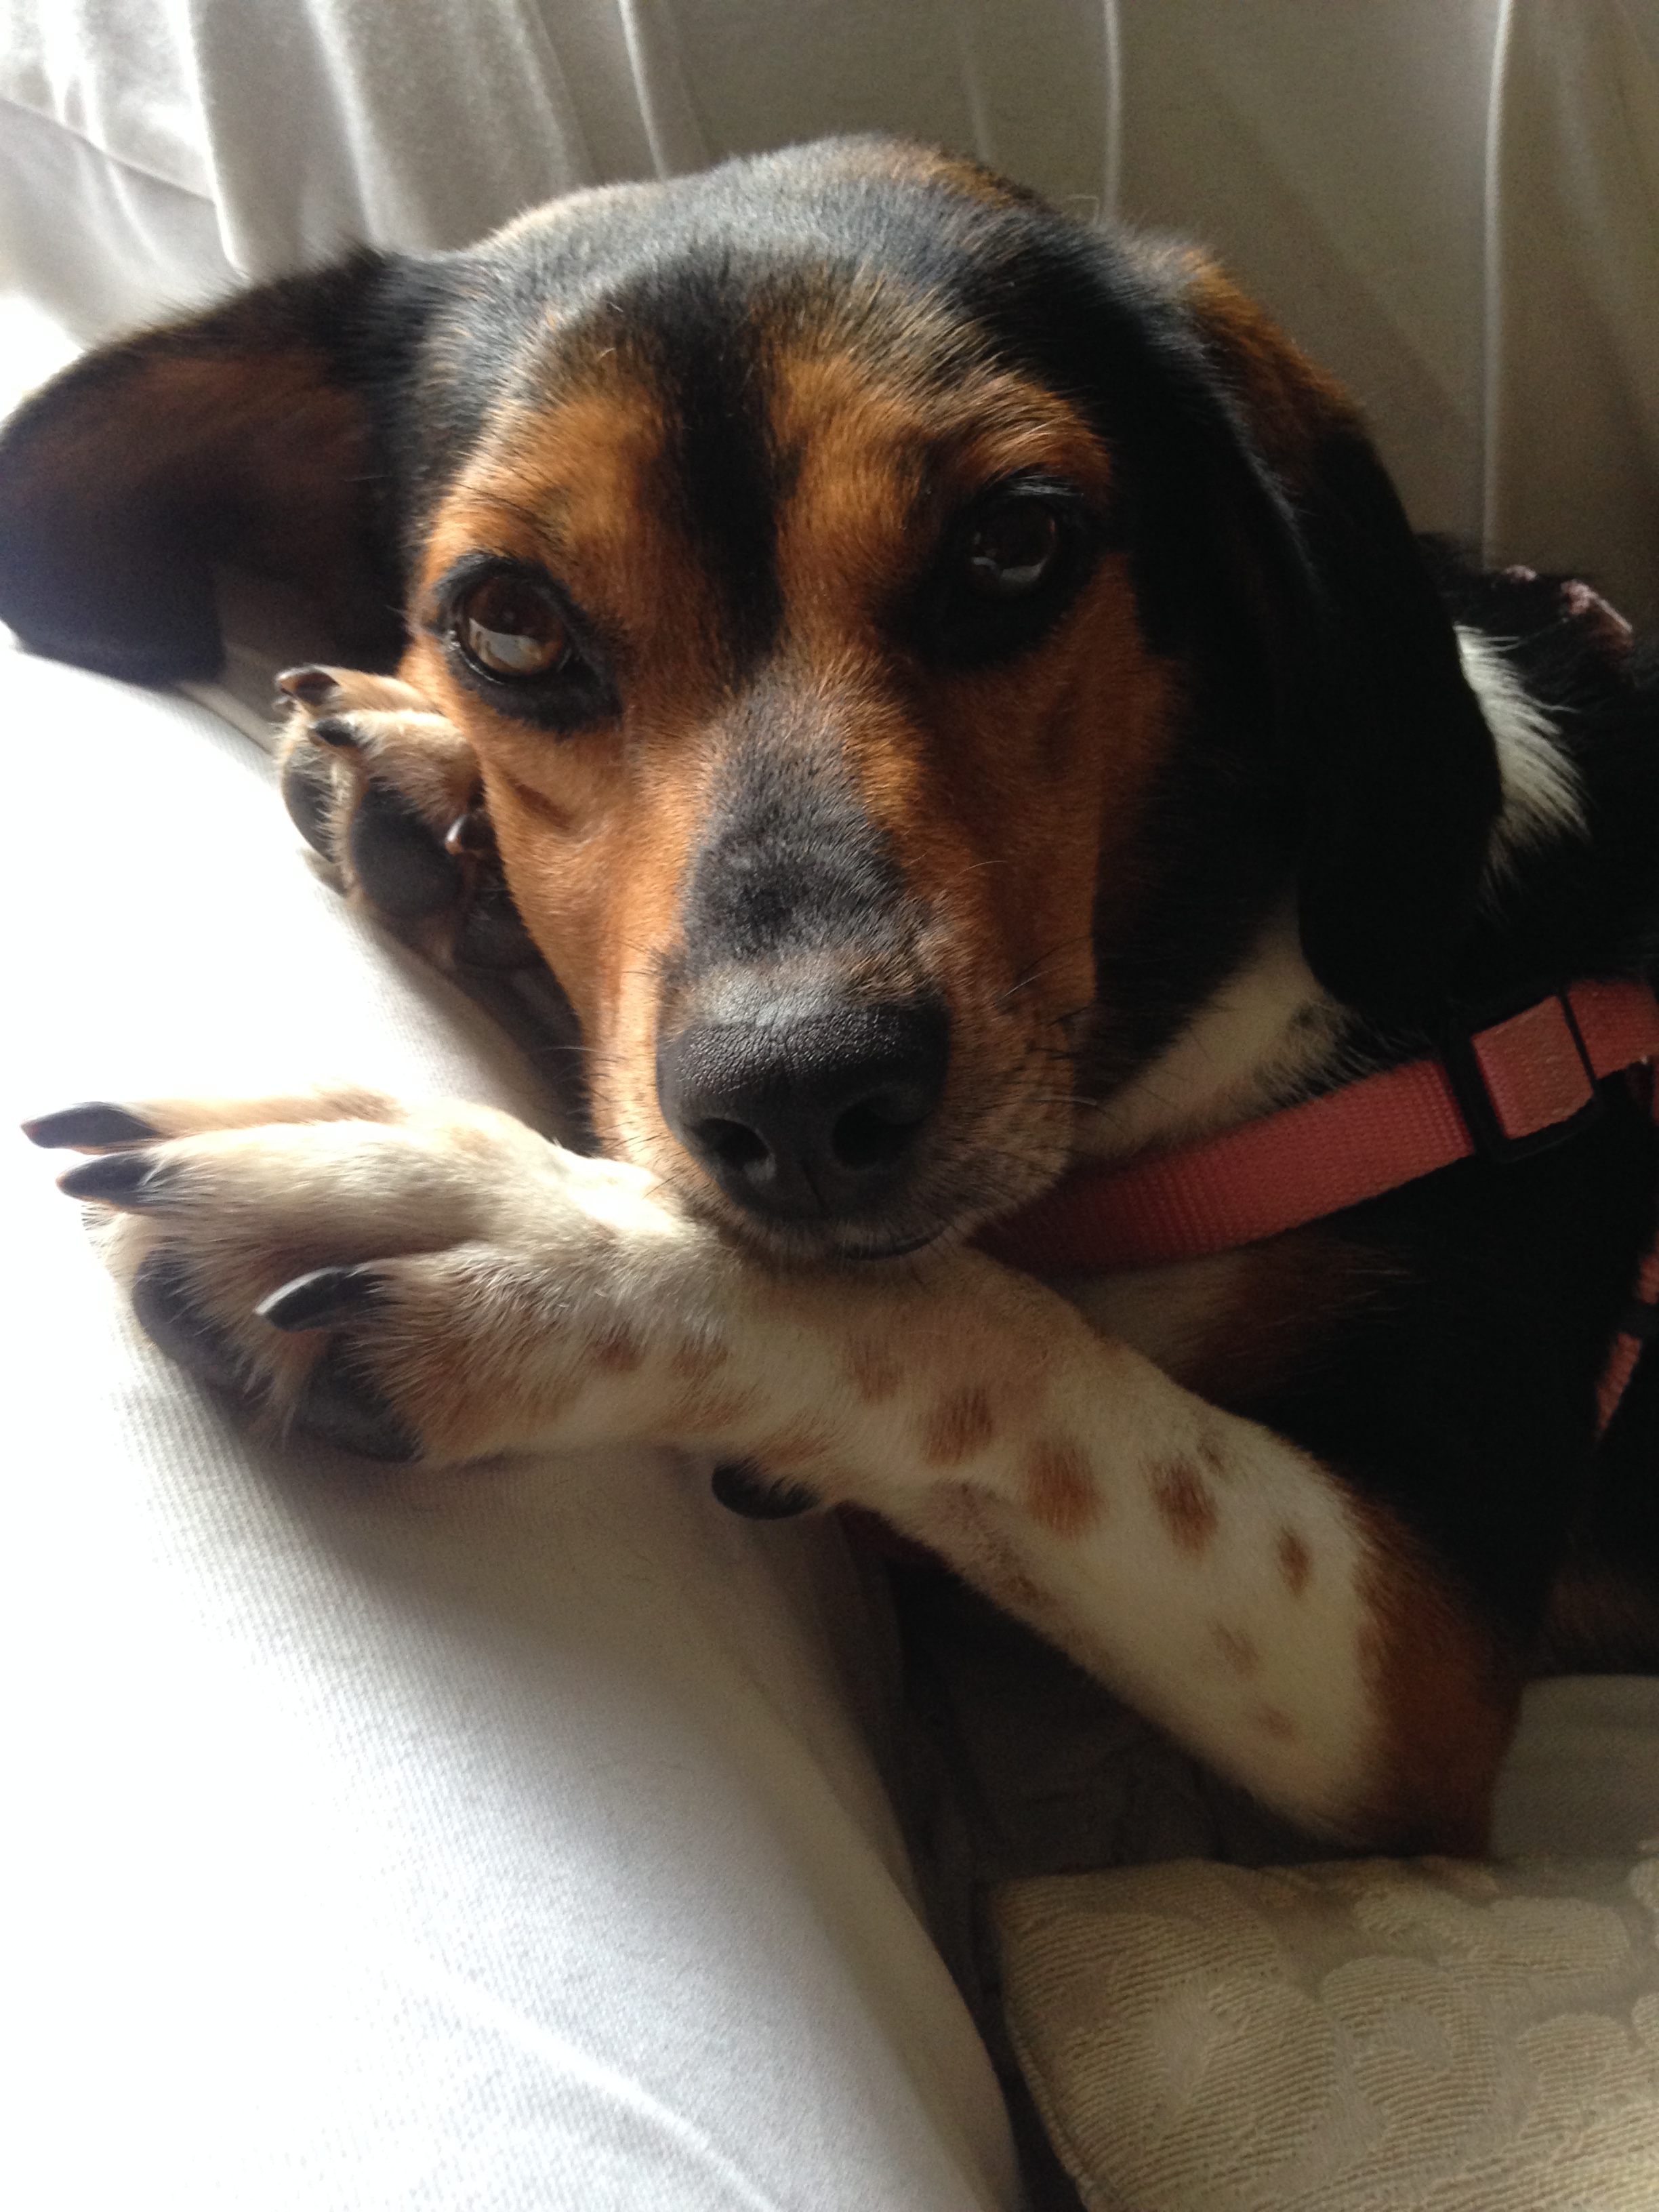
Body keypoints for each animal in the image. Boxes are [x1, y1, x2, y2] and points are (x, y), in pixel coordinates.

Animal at [6, 138, 1658, 1855]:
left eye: (1015, 543)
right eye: (508, 622)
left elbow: (976, 1343)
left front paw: (497, 1235)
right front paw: (429, 776)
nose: (797, 1096)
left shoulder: (1399, 1681)